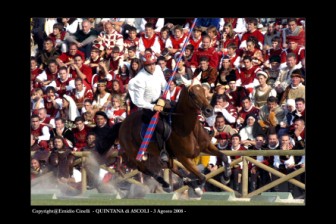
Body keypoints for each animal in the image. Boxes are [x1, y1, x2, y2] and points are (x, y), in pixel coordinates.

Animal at [98, 76, 231, 194]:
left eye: (204, 91)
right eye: (192, 94)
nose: (209, 111)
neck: (187, 129)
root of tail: (122, 124)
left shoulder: (206, 146)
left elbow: (224, 157)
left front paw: (226, 177)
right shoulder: (184, 158)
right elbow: (202, 177)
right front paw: (198, 188)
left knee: (170, 167)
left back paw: (184, 182)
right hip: (135, 154)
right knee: (145, 169)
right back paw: (166, 184)